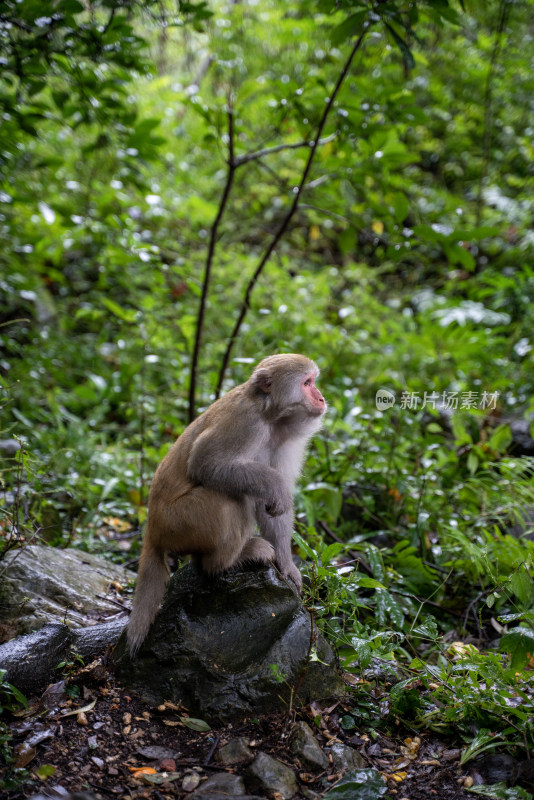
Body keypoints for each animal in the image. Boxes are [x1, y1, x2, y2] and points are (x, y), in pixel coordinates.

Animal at [126, 354, 326, 652]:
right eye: (307, 383)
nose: (322, 398)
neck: (270, 415)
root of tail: (151, 528)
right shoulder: (246, 423)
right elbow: (206, 463)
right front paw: (276, 488)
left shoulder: (284, 440)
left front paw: (287, 565)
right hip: (179, 521)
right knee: (228, 497)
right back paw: (226, 562)